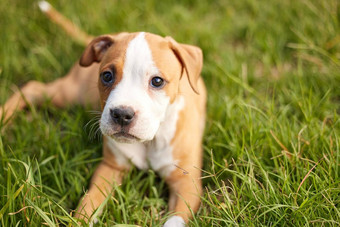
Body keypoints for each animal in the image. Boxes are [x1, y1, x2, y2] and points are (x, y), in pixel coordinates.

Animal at [0, 1, 206, 225]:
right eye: (107, 76)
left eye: (157, 81)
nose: (122, 114)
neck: (150, 141)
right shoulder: (110, 169)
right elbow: (90, 201)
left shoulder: (187, 183)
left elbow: (175, 219)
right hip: (73, 93)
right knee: (33, 88)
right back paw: (4, 116)